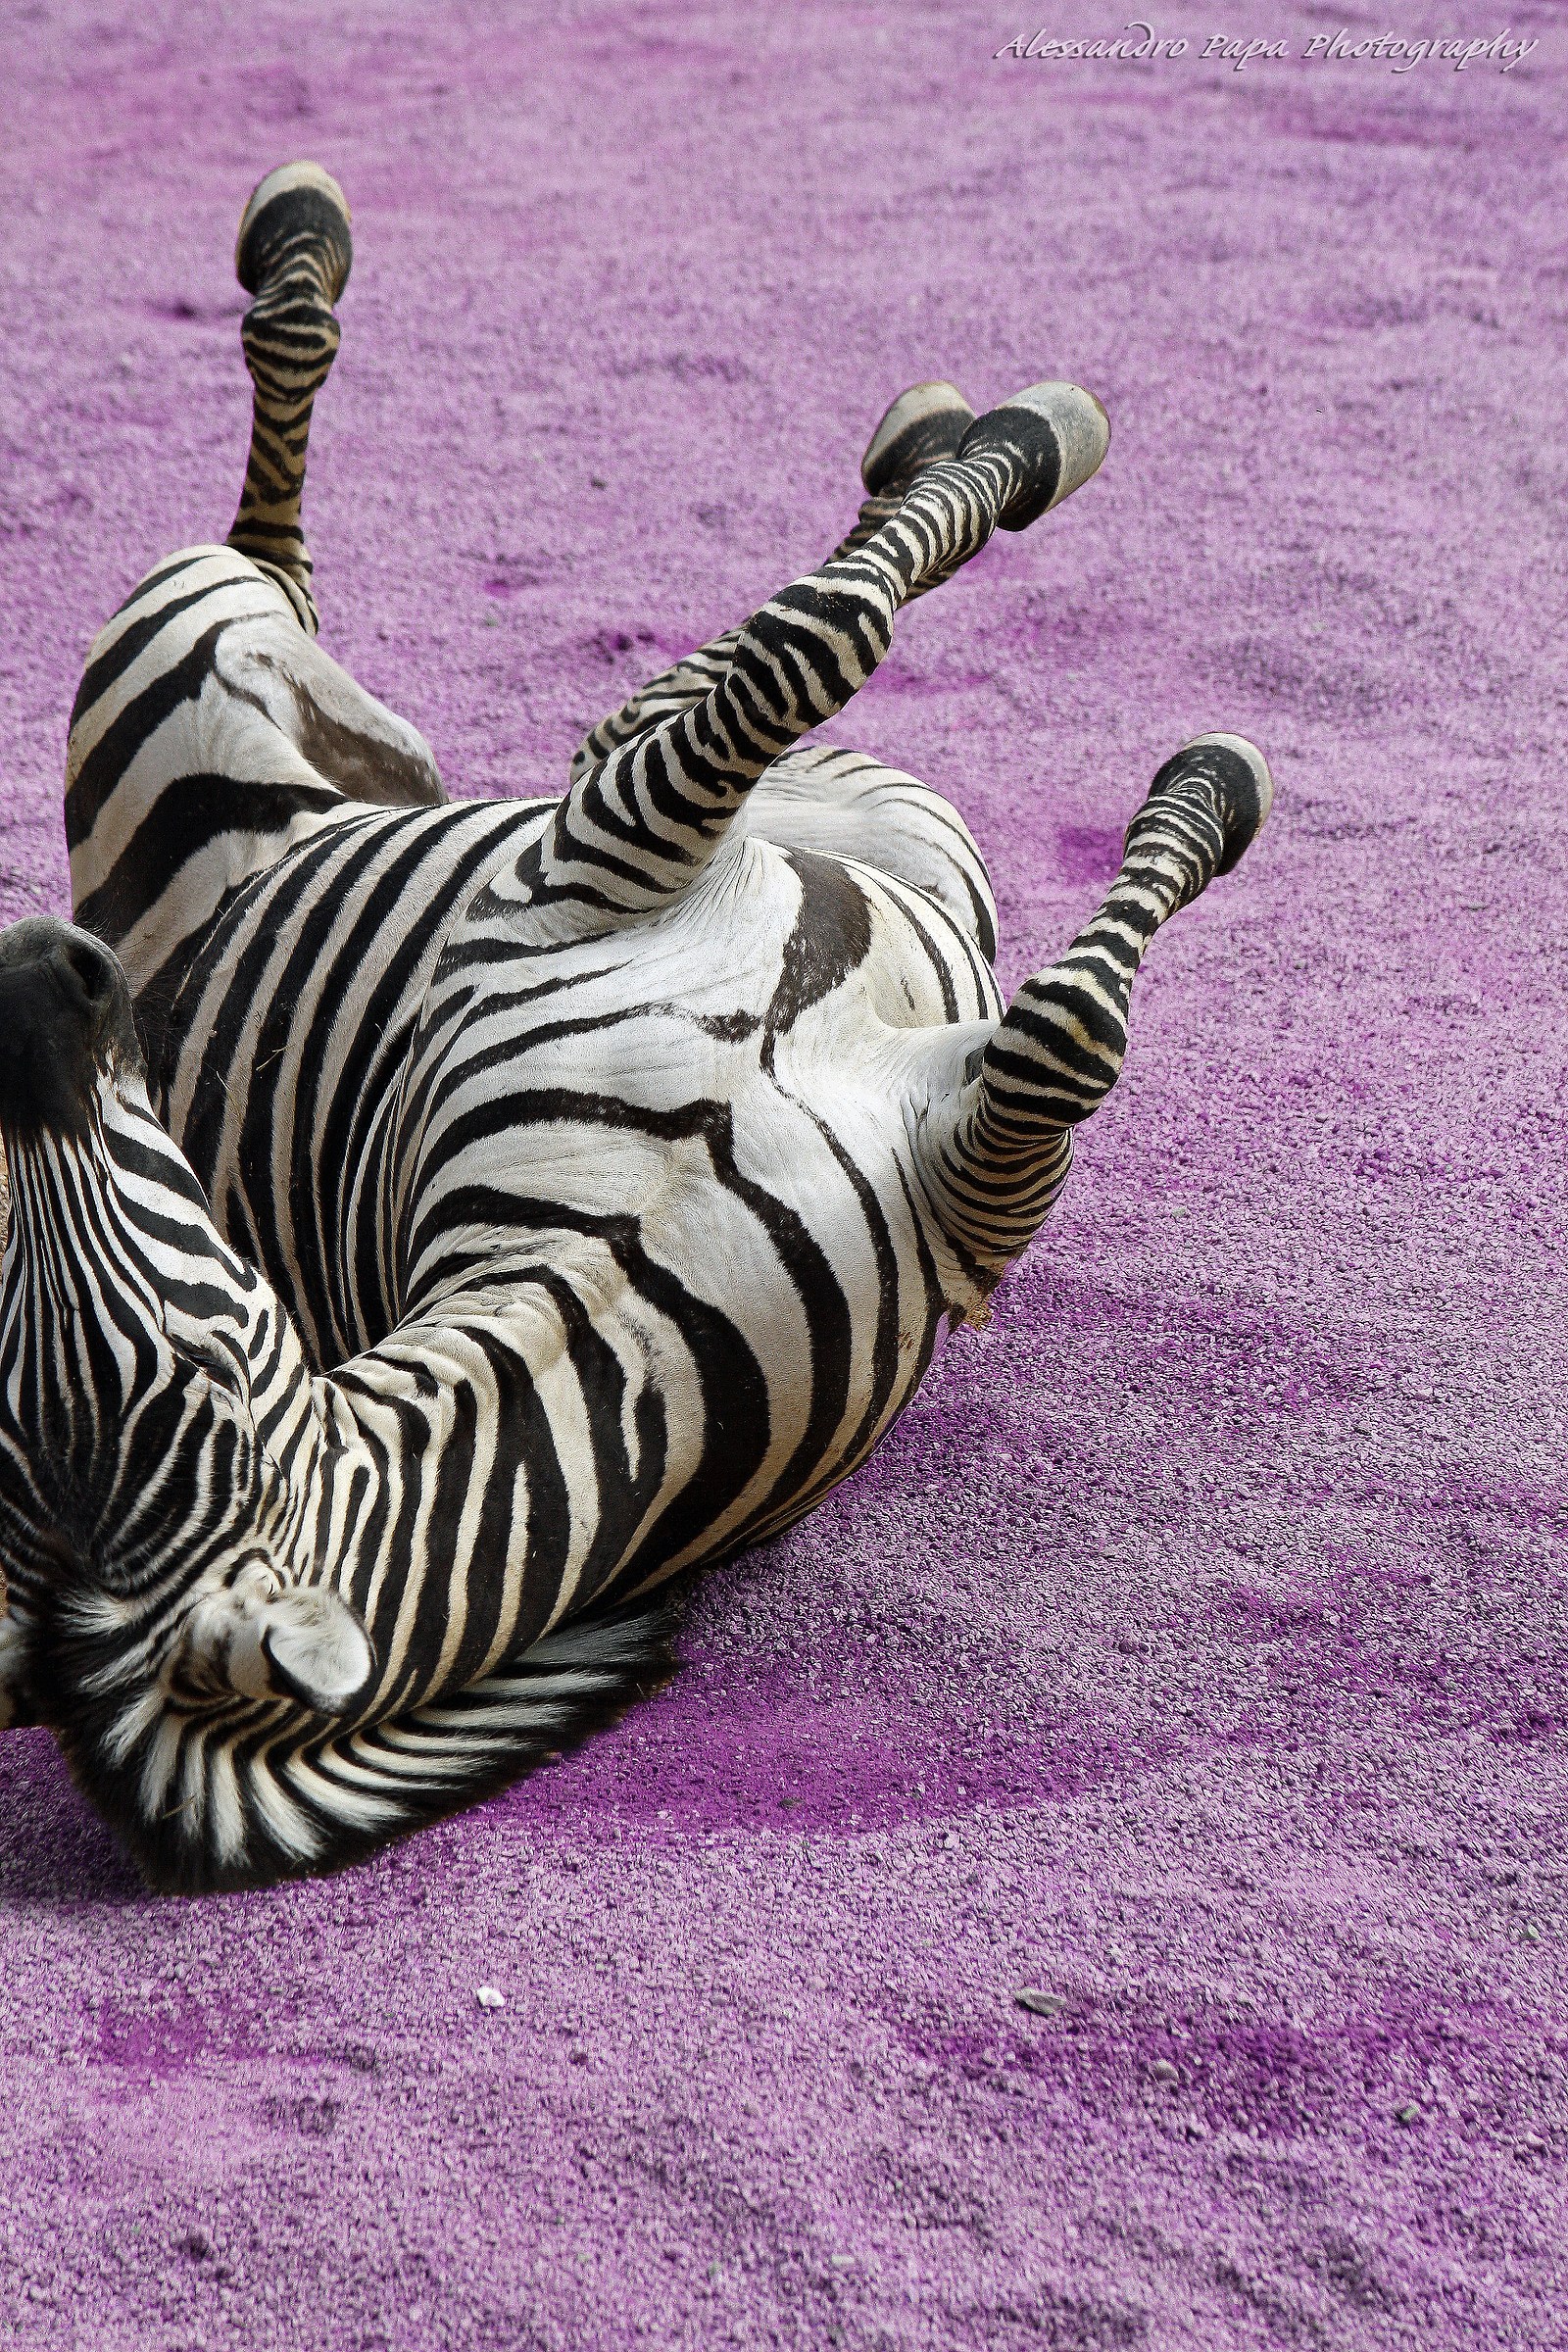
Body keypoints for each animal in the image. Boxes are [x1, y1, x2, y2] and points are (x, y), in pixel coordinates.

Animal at [0, 163, 1272, 1892]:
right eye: (173, 1391)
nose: (34, 985)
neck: (602, 1288)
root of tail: (152, 921)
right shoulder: (611, 887)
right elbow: (839, 659)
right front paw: (1205, 772)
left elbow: (1040, 982)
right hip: (218, 655)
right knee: (297, 559)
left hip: (514, 777)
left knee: (462, 640)